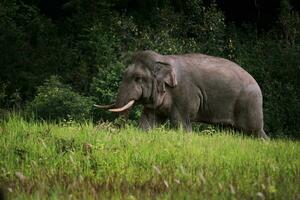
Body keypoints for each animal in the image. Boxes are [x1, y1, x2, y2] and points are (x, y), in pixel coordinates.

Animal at [95, 50, 268, 139]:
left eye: (138, 78)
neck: (163, 60)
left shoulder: (183, 94)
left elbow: (181, 124)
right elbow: (148, 121)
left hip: (249, 104)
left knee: (255, 131)